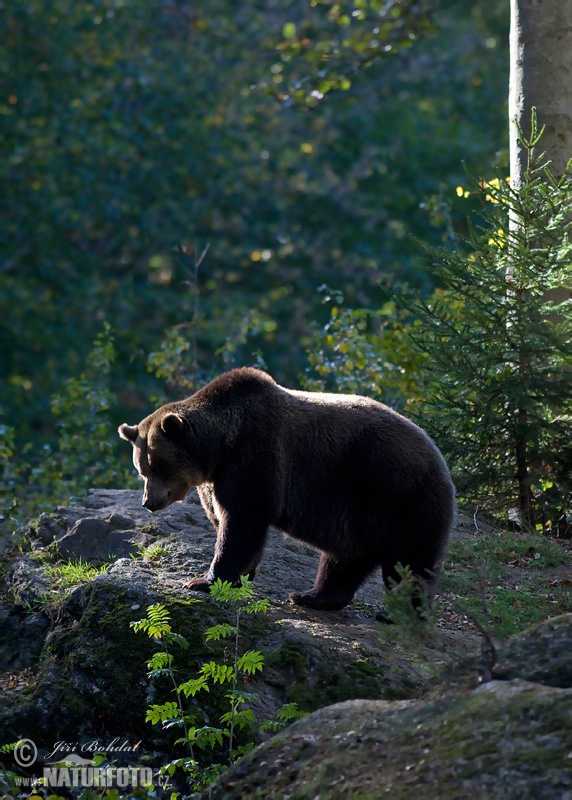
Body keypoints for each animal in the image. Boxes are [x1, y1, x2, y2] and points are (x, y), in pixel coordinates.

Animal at [118, 368, 454, 620]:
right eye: (142, 468)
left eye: (159, 466)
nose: (149, 502)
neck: (221, 447)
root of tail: (441, 458)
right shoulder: (217, 479)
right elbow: (228, 522)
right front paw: (239, 578)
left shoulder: (255, 458)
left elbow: (241, 522)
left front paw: (203, 581)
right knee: (345, 558)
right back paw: (311, 596)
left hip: (397, 493)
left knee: (408, 559)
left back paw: (398, 612)